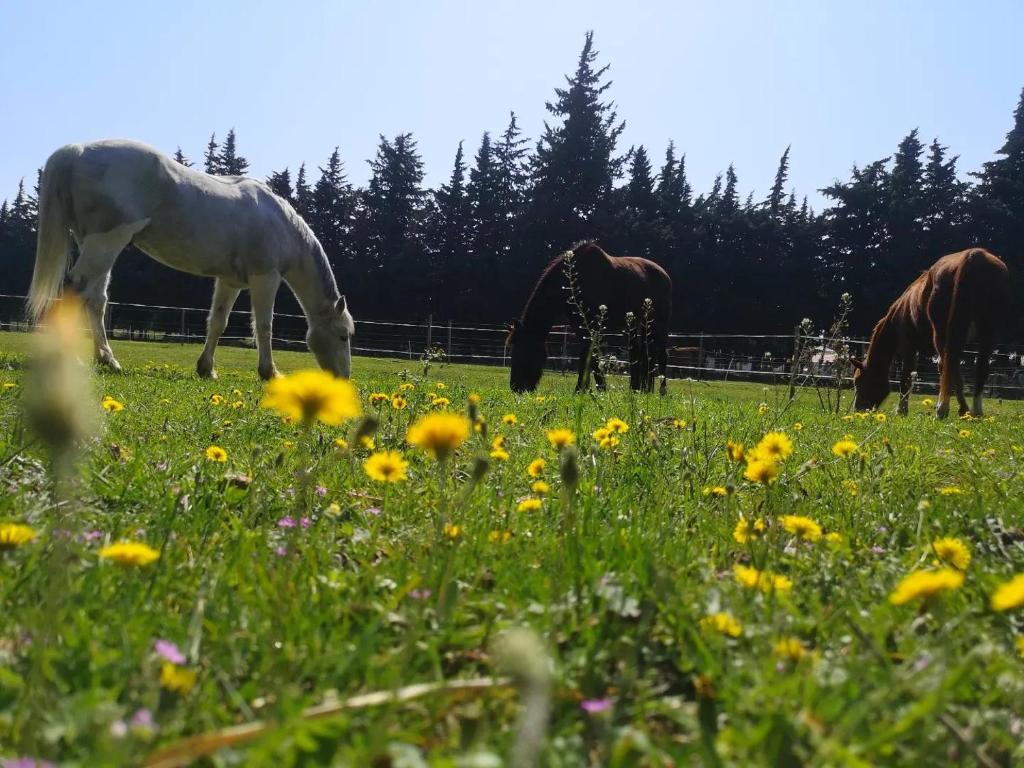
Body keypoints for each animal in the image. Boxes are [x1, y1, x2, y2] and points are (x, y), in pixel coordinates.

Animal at [28, 141, 356, 382]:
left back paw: (108, 360)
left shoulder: (230, 281)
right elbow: (264, 325)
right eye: (343, 336)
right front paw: (269, 372)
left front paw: (206, 369)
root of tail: (77, 151)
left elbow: (217, 323)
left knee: (95, 300)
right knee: (75, 290)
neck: (279, 221)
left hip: (96, 246)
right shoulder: (266, 277)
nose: (344, 378)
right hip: (105, 243)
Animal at [507, 241, 675, 397]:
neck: (575, 279)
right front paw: (589, 389)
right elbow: (589, 357)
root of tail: (665, 275)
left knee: (661, 355)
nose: (516, 388)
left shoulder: (592, 325)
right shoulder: (580, 326)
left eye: (522, 351)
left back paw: (660, 391)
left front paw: (588, 389)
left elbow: (590, 357)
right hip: (636, 324)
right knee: (640, 353)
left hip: (659, 322)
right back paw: (639, 389)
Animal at [847, 249, 1007, 421]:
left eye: (858, 381)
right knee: (978, 367)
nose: (858, 410)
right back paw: (975, 411)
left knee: (949, 364)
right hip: (987, 332)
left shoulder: (909, 347)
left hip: (943, 334)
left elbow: (906, 378)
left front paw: (901, 410)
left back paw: (943, 409)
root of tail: (974, 255)